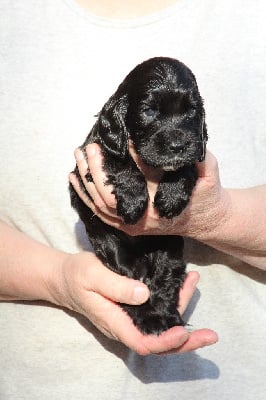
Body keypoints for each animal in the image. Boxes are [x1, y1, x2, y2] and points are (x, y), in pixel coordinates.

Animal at [69, 57, 207, 334]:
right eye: (149, 111)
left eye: (191, 111)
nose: (178, 146)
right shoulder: (93, 152)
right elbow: (119, 159)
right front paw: (133, 201)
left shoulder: (195, 151)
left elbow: (186, 166)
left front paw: (171, 196)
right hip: (112, 249)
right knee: (130, 277)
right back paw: (148, 316)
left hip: (168, 246)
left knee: (165, 276)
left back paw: (163, 316)